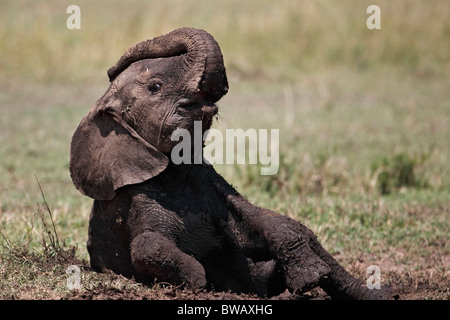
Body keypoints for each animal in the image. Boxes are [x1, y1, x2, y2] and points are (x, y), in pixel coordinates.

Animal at [70, 27, 390, 300]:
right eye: (155, 87)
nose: (110, 69)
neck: (174, 174)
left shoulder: (209, 183)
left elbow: (267, 222)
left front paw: (310, 277)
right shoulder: (135, 196)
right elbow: (146, 245)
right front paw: (200, 281)